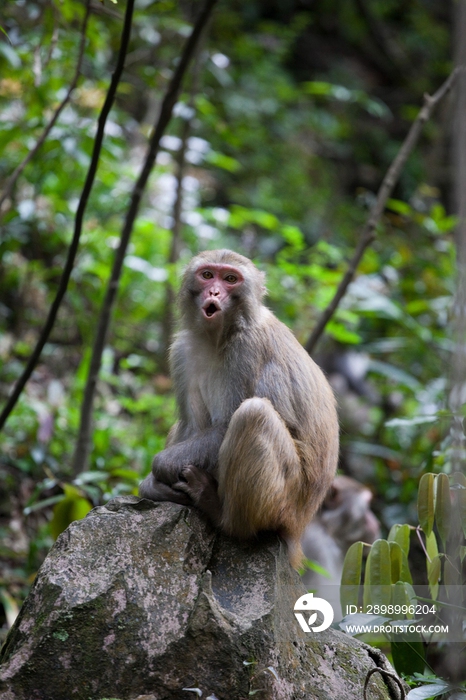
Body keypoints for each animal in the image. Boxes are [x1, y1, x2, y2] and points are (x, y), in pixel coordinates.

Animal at [138, 249, 338, 568]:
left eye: (231, 279)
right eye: (208, 275)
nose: (214, 292)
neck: (218, 336)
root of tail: (301, 525)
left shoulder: (247, 350)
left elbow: (225, 426)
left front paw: (159, 469)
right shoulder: (182, 351)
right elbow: (191, 426)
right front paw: (153, 485)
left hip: (286, 500)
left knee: (253, 414)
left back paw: (222, 514)